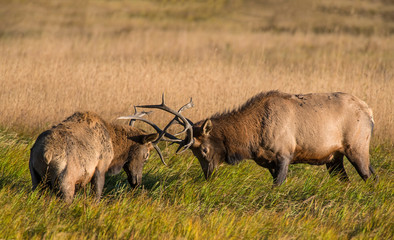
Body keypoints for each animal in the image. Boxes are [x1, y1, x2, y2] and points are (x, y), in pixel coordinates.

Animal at [28, 110, 175, 202]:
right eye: (146, 155)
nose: (137, 182)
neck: (114, 147)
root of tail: (46, 154)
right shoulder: (101, 166)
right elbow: (97, 195)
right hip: (65, 179)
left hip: (36, 178)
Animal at [140, 91, 378, 187]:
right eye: (194, 153)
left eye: (204, 150)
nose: (208, 175)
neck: (252, 139)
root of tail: (369, 111)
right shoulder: (268, 161)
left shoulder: (285, 154)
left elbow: (277, 185)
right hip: (334, 158)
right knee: (350, 179)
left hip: (357, 147)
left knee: (370, 176)